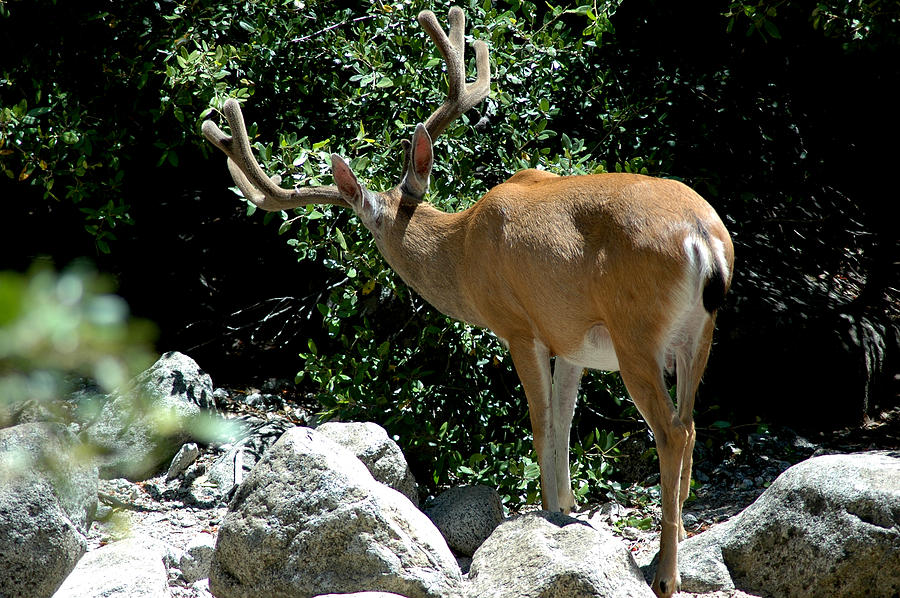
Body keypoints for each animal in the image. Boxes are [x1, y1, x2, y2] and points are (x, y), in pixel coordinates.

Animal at [200, 7, 736, 596]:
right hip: (699, 334)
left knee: (672, 431)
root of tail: (704, 238)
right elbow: (565, 422)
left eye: (369, 225)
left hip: (635, 332)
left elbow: (541, 422)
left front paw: (550, 514)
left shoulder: (519, 324)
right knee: (691, 424)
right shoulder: (572, 339)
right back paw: (674, 550)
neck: (462, 247)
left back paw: (665, 575)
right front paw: (568, 510)